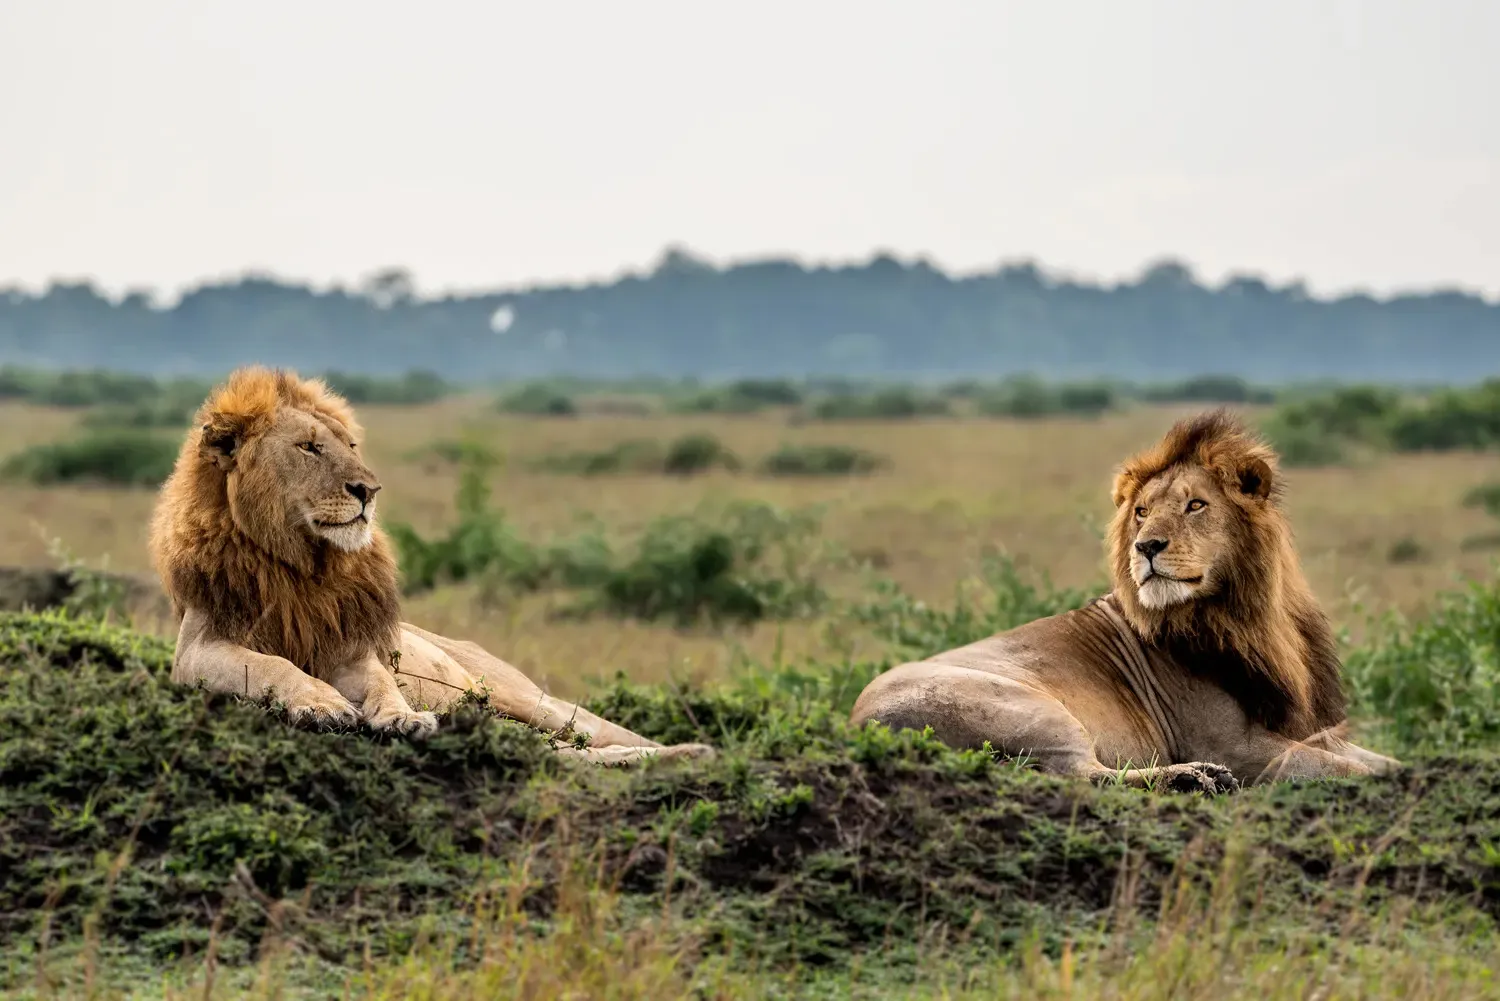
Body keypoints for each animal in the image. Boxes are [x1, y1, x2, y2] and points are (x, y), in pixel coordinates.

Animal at [152, 367, 714, 768]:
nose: (369, 490)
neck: (300, 565)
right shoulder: (198, 650)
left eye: (350, 446)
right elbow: (272, 664)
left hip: (528, 698)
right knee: (571, 751)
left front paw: (402, 717)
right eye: (309, 447)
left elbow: (382, 681)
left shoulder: (349, 648)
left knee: (592, 735)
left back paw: (692, 752)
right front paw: (322, 703)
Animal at [852, 408, 1398, 792]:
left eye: (1195, 505)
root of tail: (860, 722)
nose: (1146, 546)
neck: (1253, 616)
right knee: (1083, 775)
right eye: (1141, 512)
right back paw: (1193, 778)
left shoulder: (1308, 728)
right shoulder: (1236, 745)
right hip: (1029, 707)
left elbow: (1379, 760)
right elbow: (1346, 769)